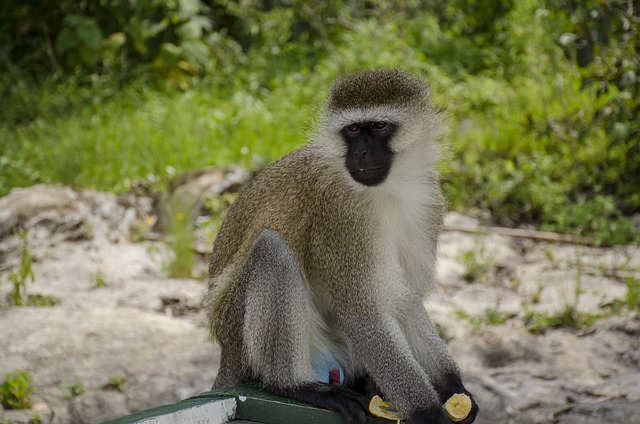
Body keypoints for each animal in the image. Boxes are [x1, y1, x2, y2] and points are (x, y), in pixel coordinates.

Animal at [202, 69, 478, 424]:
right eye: (352, 130)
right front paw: (427, 411)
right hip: (237, 328)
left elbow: (406, 302)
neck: (392, 188)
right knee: (271, 251)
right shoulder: (341, 216)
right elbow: (363, 313)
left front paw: (453, 387)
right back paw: (293, 385)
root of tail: (226, 353)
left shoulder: (428, 201)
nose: (359, 154)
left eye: (378, 126)